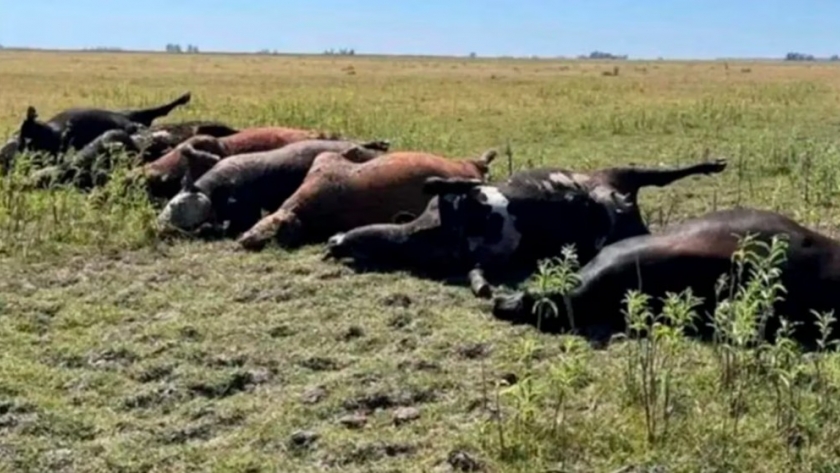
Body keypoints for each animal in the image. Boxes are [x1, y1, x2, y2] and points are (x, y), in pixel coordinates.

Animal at [324, 158, 728, 297]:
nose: (331, 243)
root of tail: (624, 203)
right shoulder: (482, 260)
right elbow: (477, 273)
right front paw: (483, 288)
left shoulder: (452, 200)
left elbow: (440, 184)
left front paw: (462, 183)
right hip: (624, 224)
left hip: (624, 172)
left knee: (668, 174)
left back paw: (712, 165)